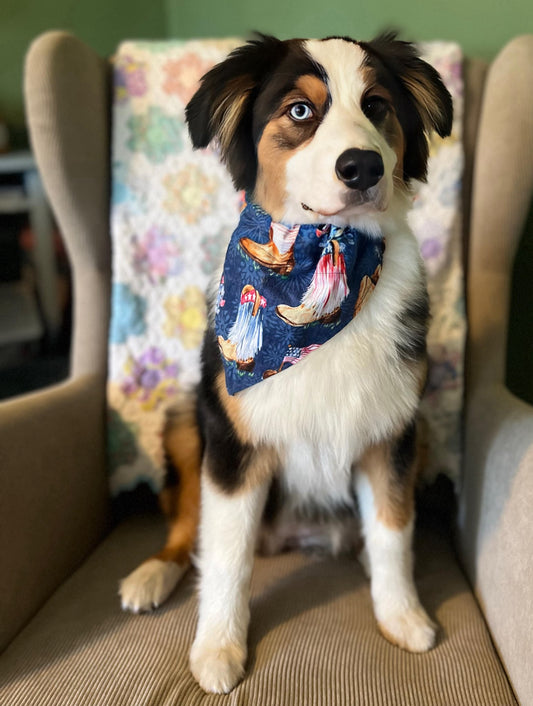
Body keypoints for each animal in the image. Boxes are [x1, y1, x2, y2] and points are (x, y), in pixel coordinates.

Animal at [118, 34, 450, 692]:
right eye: (300, 111)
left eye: (377, 105)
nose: (362, 166)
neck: (327, 255)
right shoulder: (233, 441)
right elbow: (225, 554)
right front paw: (218, 649)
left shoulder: (395, 430)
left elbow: (394, 531)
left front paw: (402, 616)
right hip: (186, 419)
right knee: (185, 529)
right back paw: (151, 575)